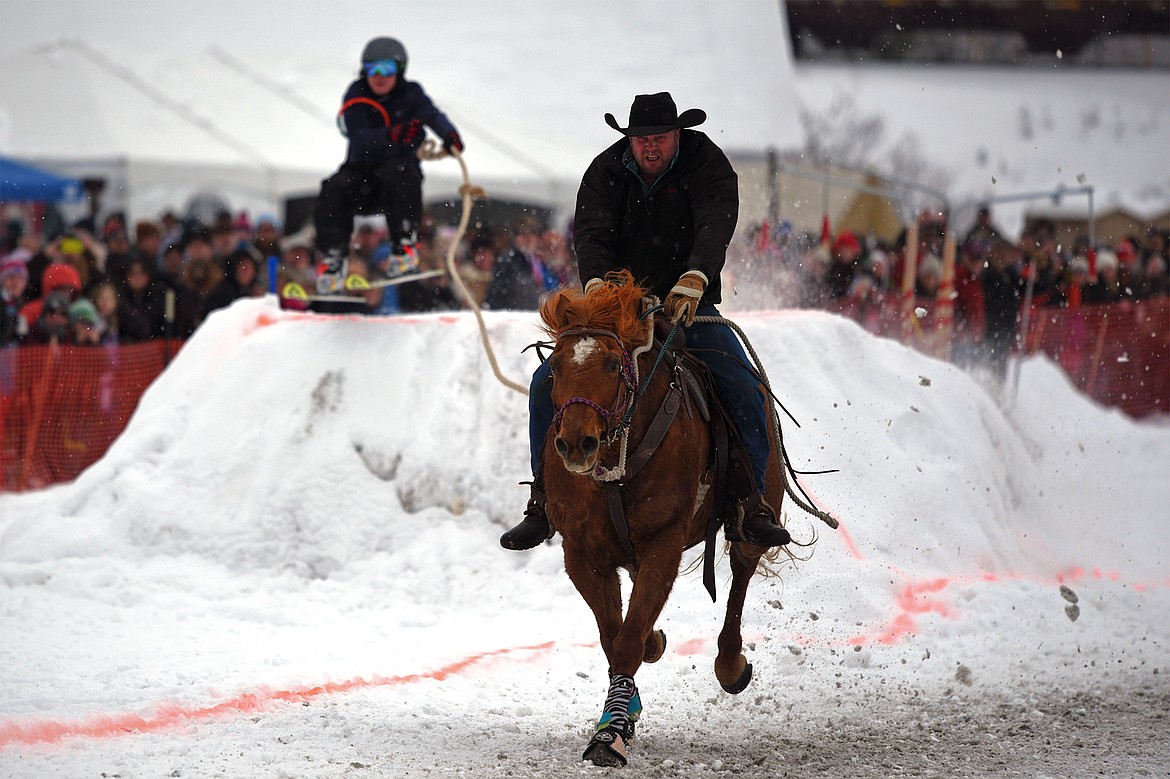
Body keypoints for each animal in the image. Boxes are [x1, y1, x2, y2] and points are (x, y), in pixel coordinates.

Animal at [535, 271, 790, 762]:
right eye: (554, 368)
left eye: (613, 366)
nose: (576, 443)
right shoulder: (582, 554)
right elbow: (614, 634)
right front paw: (623, 708)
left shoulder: (663, 543)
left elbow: (627, 641)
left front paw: (610, 734)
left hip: (756, 512)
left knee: (741, 570)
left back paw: (730, 663)